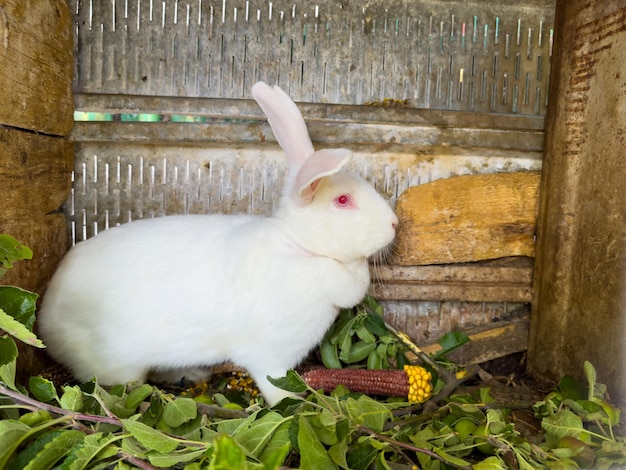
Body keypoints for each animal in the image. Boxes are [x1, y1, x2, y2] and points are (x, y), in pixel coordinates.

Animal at [39, 81, 398, 404]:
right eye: (343, 200)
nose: (394, 224)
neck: (299, 247)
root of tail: (45, 319)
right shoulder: (270, 356)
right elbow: (275, 388)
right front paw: (291, 403)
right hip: (117, 365)